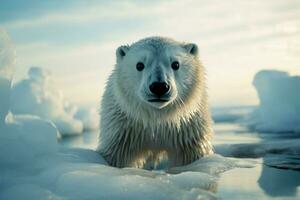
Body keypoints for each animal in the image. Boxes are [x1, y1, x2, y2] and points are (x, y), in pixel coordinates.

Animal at [98, 36, 213, 168]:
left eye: (176, 64)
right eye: (139, 65)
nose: (159, 86)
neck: (157, 119)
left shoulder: (187, 128)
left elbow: (192, 154)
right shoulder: (124, 129)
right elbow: (117, 155)